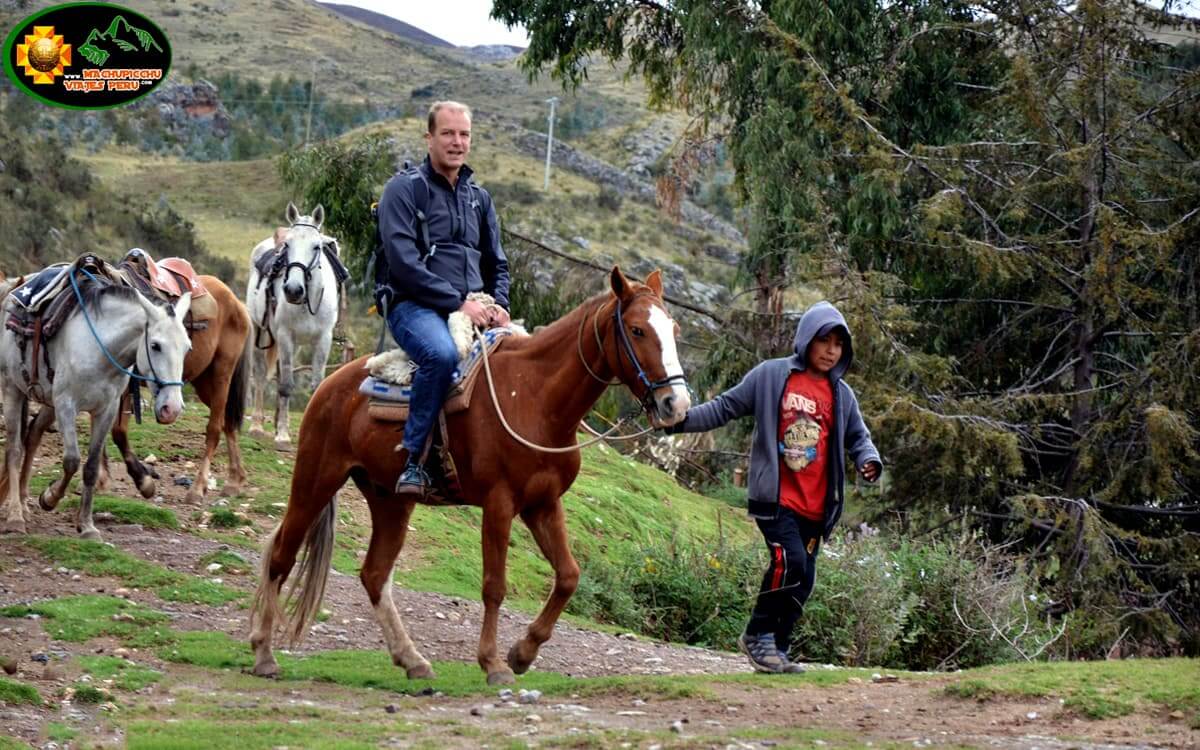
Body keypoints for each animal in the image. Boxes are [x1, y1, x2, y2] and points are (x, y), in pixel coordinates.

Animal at [0, 265, 192, 540]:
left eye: (187, 347)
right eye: (155, 345)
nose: (171, 409)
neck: (99, 347)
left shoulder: (106, 410)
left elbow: (90, 466)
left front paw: (87, 526)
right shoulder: (67, 404)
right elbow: (71, 460)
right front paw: (49, 497)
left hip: (47, 400)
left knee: (33, 435)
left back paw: (24, 505)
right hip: (13, 389)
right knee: (14, 450)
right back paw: (16, 516)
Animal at [100, 263, 252, 505]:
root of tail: (238, 304)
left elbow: (117, 431)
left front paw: (142, 482)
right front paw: (101, 479)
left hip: (221, 375)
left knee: (214, 429)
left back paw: (198, 488)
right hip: (204, 383)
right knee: (228, 422)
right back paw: (235, 481)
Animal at [246, 203, 341, 450]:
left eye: (316, 246)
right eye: (287, 245)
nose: (293, 290)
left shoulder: (323, 340)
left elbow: (316, 386)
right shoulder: (285, 335)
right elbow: (286, 385)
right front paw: (282, 435)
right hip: (261, 332)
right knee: (261, 375)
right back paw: (258, 425)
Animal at [249, 267, 691, 685]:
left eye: (674, 331)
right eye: (637, 330)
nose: (677, 404)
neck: (535, 397)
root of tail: (330, 384)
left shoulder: (543, 503)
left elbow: (569, 576)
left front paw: (523, 653)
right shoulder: (499, 503)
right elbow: (494, 585)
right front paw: (494, 663)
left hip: (390, 500)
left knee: (374, 574)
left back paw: (413, 660)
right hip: (315, 478)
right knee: (282, 554)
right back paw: (264, 653)